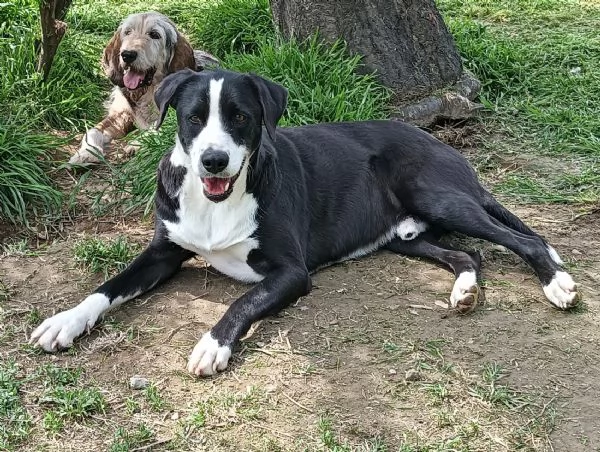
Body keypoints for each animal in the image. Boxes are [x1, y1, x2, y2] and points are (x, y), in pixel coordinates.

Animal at [30, 69, 580, 376]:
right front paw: (64, 321)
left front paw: (212, 345)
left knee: (524, 239)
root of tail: (442, 143)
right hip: (406, 237)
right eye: (192, 118)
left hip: (440, 197)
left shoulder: (290, 272)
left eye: (241, 117)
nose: (213, 161)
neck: (218, 201)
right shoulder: (162, 252)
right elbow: (108, 287)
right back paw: (465, 290)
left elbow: (242, 300)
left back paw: (556, 283)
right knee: (470, 251)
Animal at [68, 11, 218, 164]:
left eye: (154, 34)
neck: (145, 91)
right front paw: (86, 153)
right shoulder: (120, 115)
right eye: (128, 32)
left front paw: (137, 143)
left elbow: (158, 127)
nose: (127, 55)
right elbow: (93, 131)